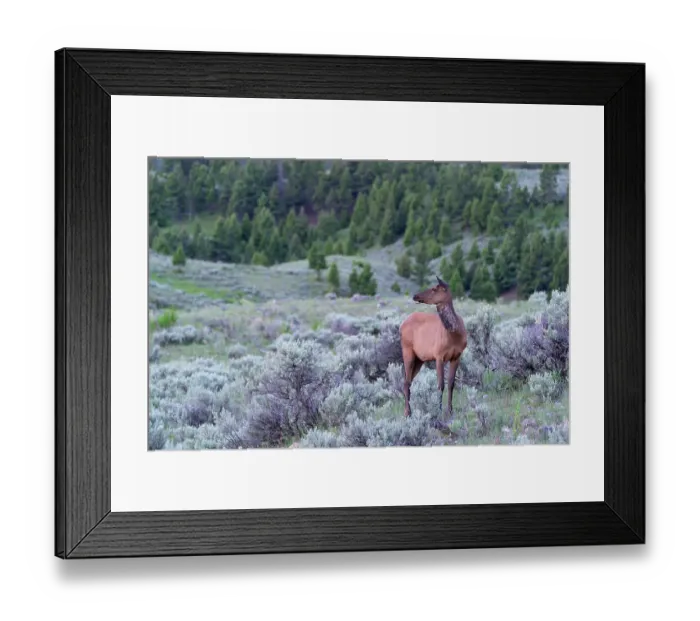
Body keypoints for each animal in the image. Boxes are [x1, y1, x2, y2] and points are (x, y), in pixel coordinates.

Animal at [399, 276, 467, 421]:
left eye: (434, 289)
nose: (415, 295)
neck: (454, 334)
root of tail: (401, 325)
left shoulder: (457, 356)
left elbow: (451, 384)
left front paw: (450, 411)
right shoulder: (439, 355)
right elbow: (440, 385)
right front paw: (438, 410)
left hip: (419, 359)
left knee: (409, 381)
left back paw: (408, 411)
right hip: (407, 351)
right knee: (406, 382)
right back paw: (408, 413)